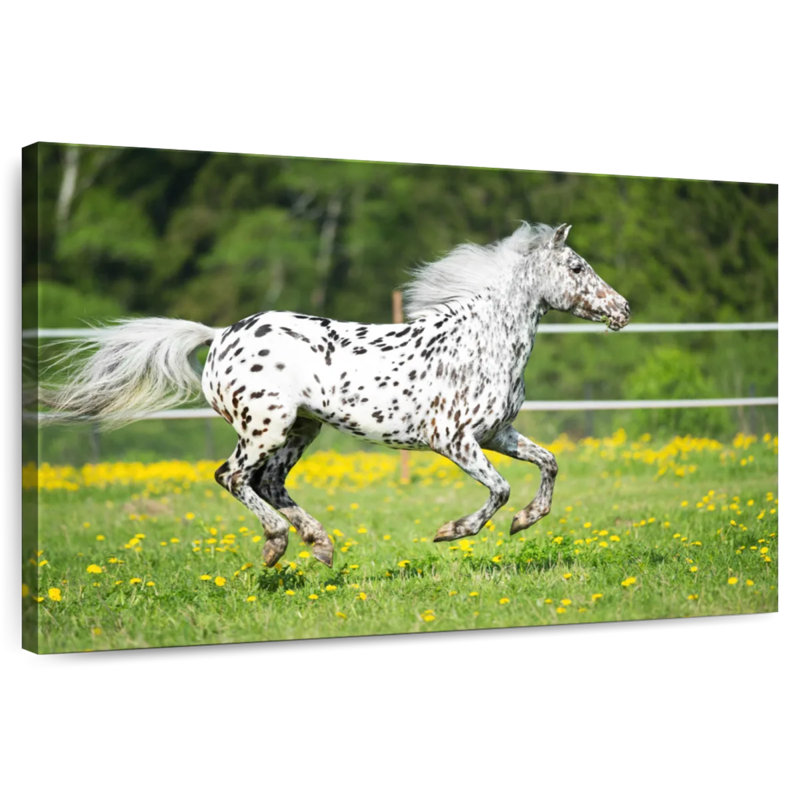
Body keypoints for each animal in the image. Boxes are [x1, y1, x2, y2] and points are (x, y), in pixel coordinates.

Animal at [44, 222, 630, 568]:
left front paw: (524, 522)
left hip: (301, 430)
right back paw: (277, 544)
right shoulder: (454, 441)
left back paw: (320, 544)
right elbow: (501, 489)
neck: (479, 341)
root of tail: (219, 337)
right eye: (576, 267)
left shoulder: (498, 433)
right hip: (265, 428)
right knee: (232, 477)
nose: (622, 310)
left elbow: (549, 463)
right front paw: (451, 532)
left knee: (270, 483)